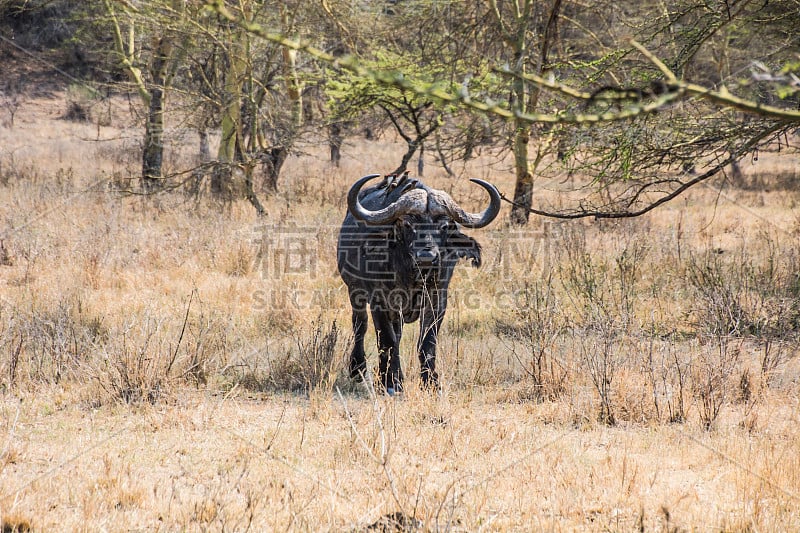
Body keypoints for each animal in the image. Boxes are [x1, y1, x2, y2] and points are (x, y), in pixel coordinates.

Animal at [336, 172, 500, 392]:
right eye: (407, 224)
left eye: (444, 225)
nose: (426, 257)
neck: (413, 276)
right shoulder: (379, 300)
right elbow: (387, 339)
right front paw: (391, 383)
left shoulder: (437, 299)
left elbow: (427, 342)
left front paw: (430, 382)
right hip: (355, 292)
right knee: (360, 326)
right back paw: (358, 369)